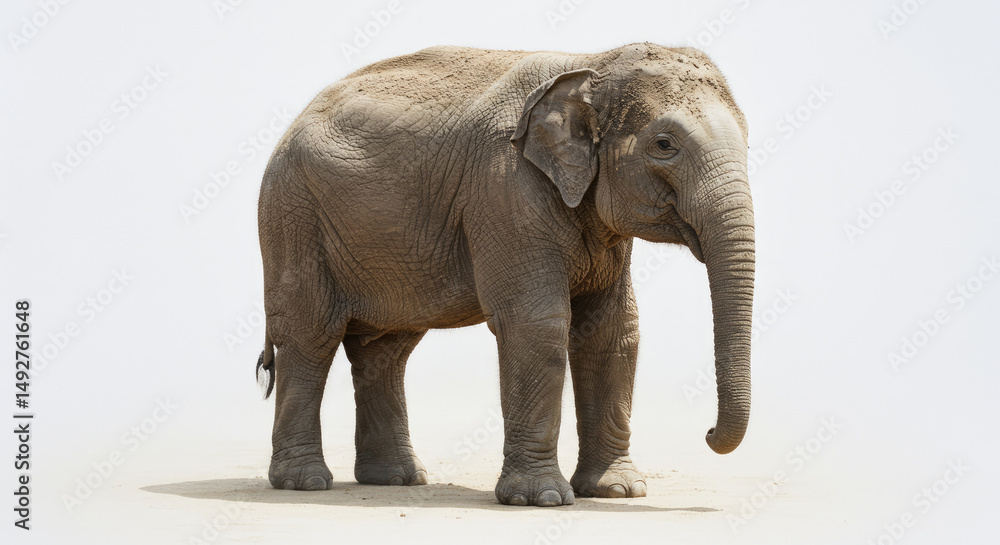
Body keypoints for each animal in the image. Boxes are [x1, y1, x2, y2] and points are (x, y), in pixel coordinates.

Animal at [255, 43, 754, 507]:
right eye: (665, 144)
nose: (708, 433)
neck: (593, 62)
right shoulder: (504, 187)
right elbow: (536, 323)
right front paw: (540, 500)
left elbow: (612, 330)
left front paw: (617, 492)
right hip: (293, 218)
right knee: (310, 335)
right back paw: (304, 483)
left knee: (386, 349)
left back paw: (396, 479)